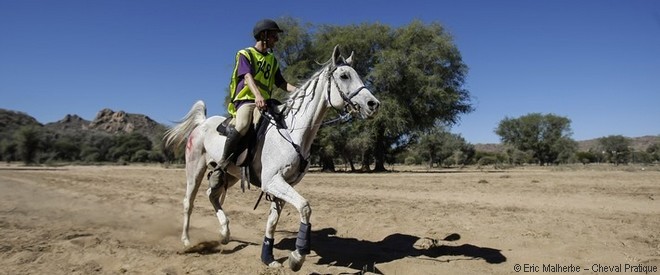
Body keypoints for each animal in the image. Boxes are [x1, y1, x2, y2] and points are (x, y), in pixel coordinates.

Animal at [165, 45, 378, 272]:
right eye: (344, 75)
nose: (374, 104)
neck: (292, 131)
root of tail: (202, 123)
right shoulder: (273, 181)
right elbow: (305, 207)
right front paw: (298, 256)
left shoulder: (283, 184)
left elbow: (273, 221)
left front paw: (268, 257)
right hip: (194, 169)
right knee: (189, 202)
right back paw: (187, 241)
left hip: (230, 175)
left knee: (212, 195)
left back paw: (225, 234)